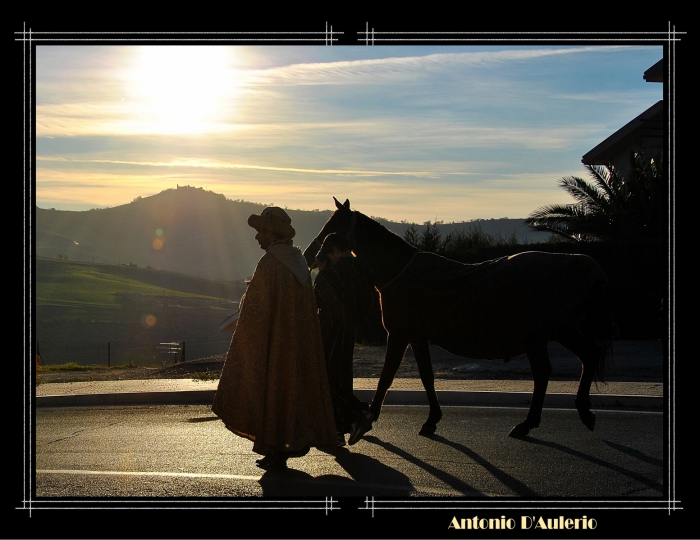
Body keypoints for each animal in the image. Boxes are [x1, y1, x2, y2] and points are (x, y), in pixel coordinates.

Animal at [304, 198, 612, 438]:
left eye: (333, 225)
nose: (309, 255)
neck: (401, 272)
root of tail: (587, 265)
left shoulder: (400, 335)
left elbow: (386, 377)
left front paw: (367, 418)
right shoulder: (418, 338)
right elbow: (427, 377)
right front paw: (431, 419)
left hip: (545, 334)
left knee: (552, 369)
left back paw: (536, 421)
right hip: (555, 332)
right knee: (579, 359)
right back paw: (571, 414)